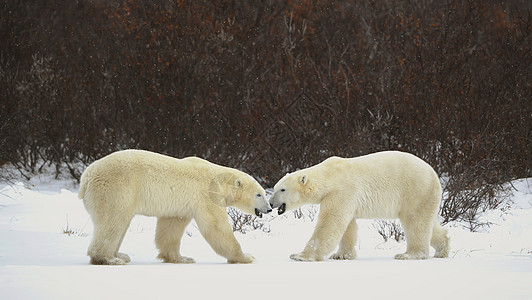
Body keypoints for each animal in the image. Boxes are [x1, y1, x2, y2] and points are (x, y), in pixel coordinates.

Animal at [79, 150, 270, 264]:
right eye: (259, 194)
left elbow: (170, 227)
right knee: (113, 221)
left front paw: (181, 258)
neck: (220, 178)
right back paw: (108, 258)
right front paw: (246, 257)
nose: (268, 209)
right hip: (116, 189)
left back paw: (120, 255)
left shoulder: (181, 205)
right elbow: (217, 228)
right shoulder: (208, 195)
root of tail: (86, 176)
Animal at [270, 150, 448, 260]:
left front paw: (300, 256)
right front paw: (341, 255)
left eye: (282, 189)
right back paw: (442, 249)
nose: (271, 203)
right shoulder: (347, 199)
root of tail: (434, 174)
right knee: (428, 224)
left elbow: (329, 224)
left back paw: (408, 255)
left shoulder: (341, 192)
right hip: (425, 197)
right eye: (275, 187)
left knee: (415, 222)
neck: (330, 176)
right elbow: (348, 226)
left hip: (415, 191)